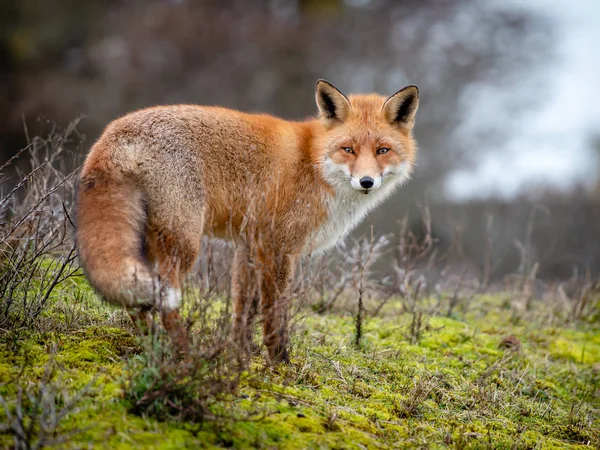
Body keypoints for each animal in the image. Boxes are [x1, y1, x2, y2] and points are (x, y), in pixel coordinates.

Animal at [76, 81, 418, 362]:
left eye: (382, 150)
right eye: (348, 149)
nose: (366, 181)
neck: (313, 163)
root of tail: (114, 132)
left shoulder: (249, 246)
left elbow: (244, 308)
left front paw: (240, 353)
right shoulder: (279, 248)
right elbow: (274, 313)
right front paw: (279, 361)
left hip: (145, 243)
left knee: (135, 300)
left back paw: (152, 344)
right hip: (183, 244)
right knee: (166, 302)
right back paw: (184, 353)